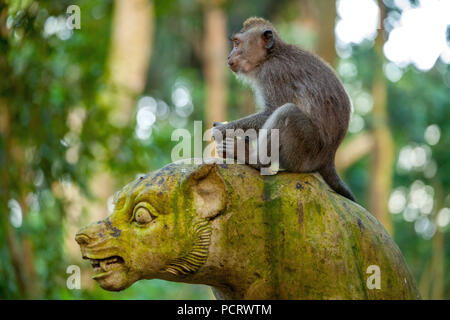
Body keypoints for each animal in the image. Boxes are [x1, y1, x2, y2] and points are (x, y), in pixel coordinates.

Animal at [213, 17, 356, 201]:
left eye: (237, 43)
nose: (229, 56)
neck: (271, 55)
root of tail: (329, 158)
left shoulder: (273, 73)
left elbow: (271, 111)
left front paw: (222, 129)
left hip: (304, 153)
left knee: (287, 111)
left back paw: (254, 159)